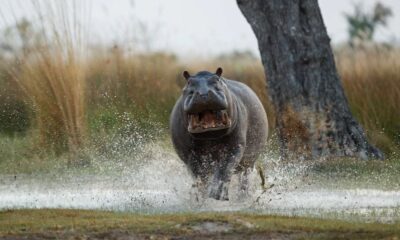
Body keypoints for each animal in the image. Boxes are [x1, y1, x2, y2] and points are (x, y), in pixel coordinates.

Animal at [170, 67, 268, 201]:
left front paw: (218, 195)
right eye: (189, 82)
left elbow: (224, 168)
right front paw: (201, 197)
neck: (210, 135)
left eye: (217, 80)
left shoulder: (235, 147)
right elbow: (200, 174)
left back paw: (242, 198)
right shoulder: (188, 153)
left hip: (249, 162)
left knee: (244, 179)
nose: (204, 93)